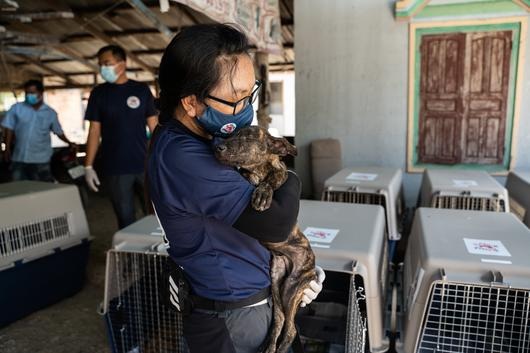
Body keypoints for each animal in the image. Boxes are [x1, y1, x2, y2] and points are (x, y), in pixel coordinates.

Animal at [213, 126, 314, 352]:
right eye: (231, 135)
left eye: (248, 137)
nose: (217, 147)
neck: (257, 169)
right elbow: (247, 174)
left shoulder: (280, 171)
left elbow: (275, 175)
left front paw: (262, 194)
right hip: (277, 284)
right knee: (280, 320)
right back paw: (269, 347)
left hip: (293, 288)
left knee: (290, 328)